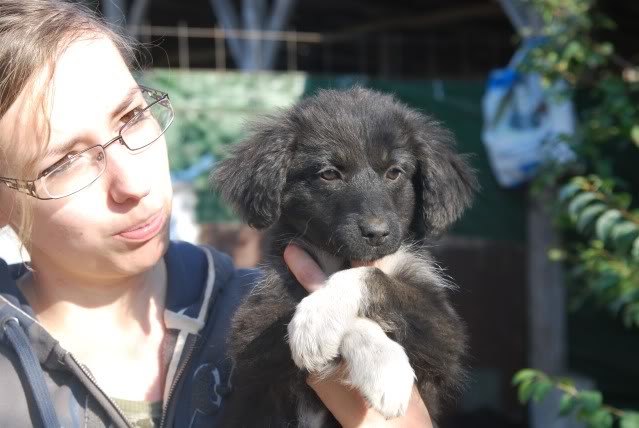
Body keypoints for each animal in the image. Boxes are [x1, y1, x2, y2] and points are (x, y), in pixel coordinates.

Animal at [212, 88, 478, 428]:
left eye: (394, 172)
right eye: (329, 174)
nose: (377, 233)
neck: (342, 258)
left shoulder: (447, 337)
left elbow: (373, 278)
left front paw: (321, 314)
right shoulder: (251, 332)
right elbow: (348, 324)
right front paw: (381, 366)